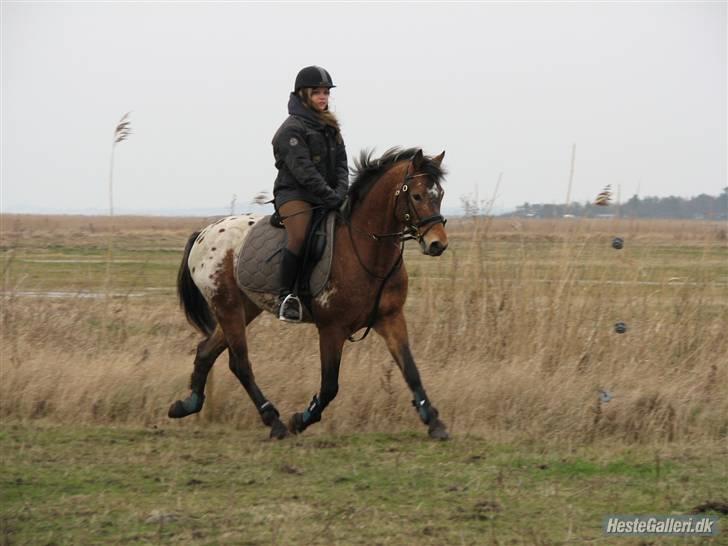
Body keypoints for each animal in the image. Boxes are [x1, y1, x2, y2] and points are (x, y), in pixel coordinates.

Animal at [170, 148, 450, 438]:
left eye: (439, 194)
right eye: (417, 196)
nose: (437, 244)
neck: (366, 251)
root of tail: (204, 233)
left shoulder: (391, 319)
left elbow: (411, 371)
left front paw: (433, 421)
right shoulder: (332, 329)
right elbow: (329, 386)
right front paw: (301, 419)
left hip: (244, 308)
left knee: (207, 352)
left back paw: (187, 404)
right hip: (228, 307)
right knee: (241, 364)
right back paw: (274, 421)